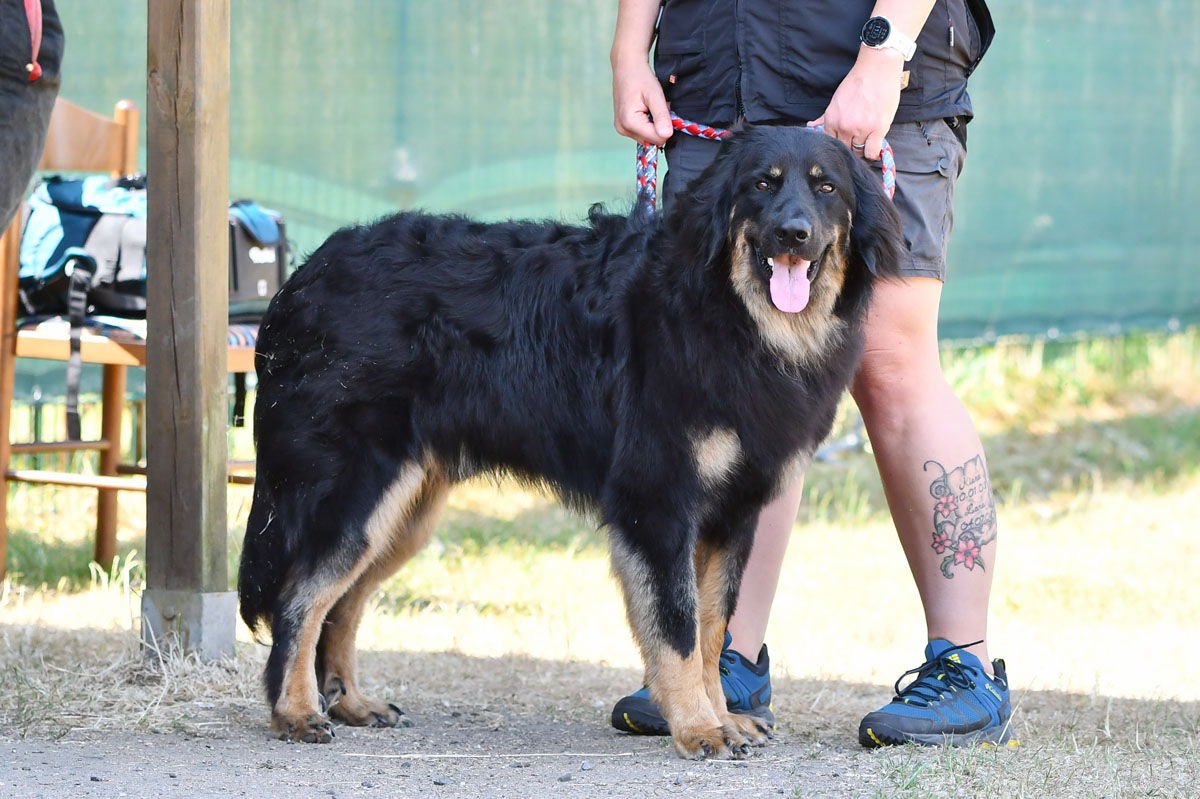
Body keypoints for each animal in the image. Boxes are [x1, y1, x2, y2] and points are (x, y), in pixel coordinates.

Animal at [238, 122, 902, 753]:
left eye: (826, 188)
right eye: (763, 184)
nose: (794, 233)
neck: (727, 311)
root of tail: (306, 276)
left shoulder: (732, 514)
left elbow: (713, 629)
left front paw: (721, 717)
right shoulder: (658, 503)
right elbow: (678, 627)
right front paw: (697, 728)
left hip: (405, 511)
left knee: (341, 603)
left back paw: (350, 703)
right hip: (360, 493)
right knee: (300, 598)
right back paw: (296, 713)